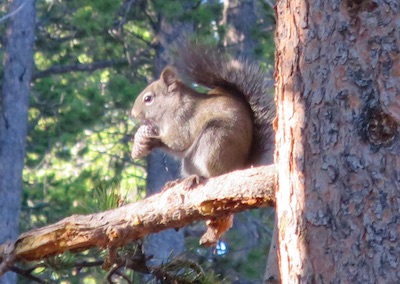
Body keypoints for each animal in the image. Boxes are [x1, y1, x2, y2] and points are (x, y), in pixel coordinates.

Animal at [131, 42, 276, 246]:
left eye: (148, 98)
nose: (133, 114)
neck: (172, 106)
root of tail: (239, 166)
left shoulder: (184, 120)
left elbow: (179, 141)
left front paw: (152, 139)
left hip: (214, 138)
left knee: (215, 174)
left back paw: (198, 178)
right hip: (192, 159)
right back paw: (180, 181)